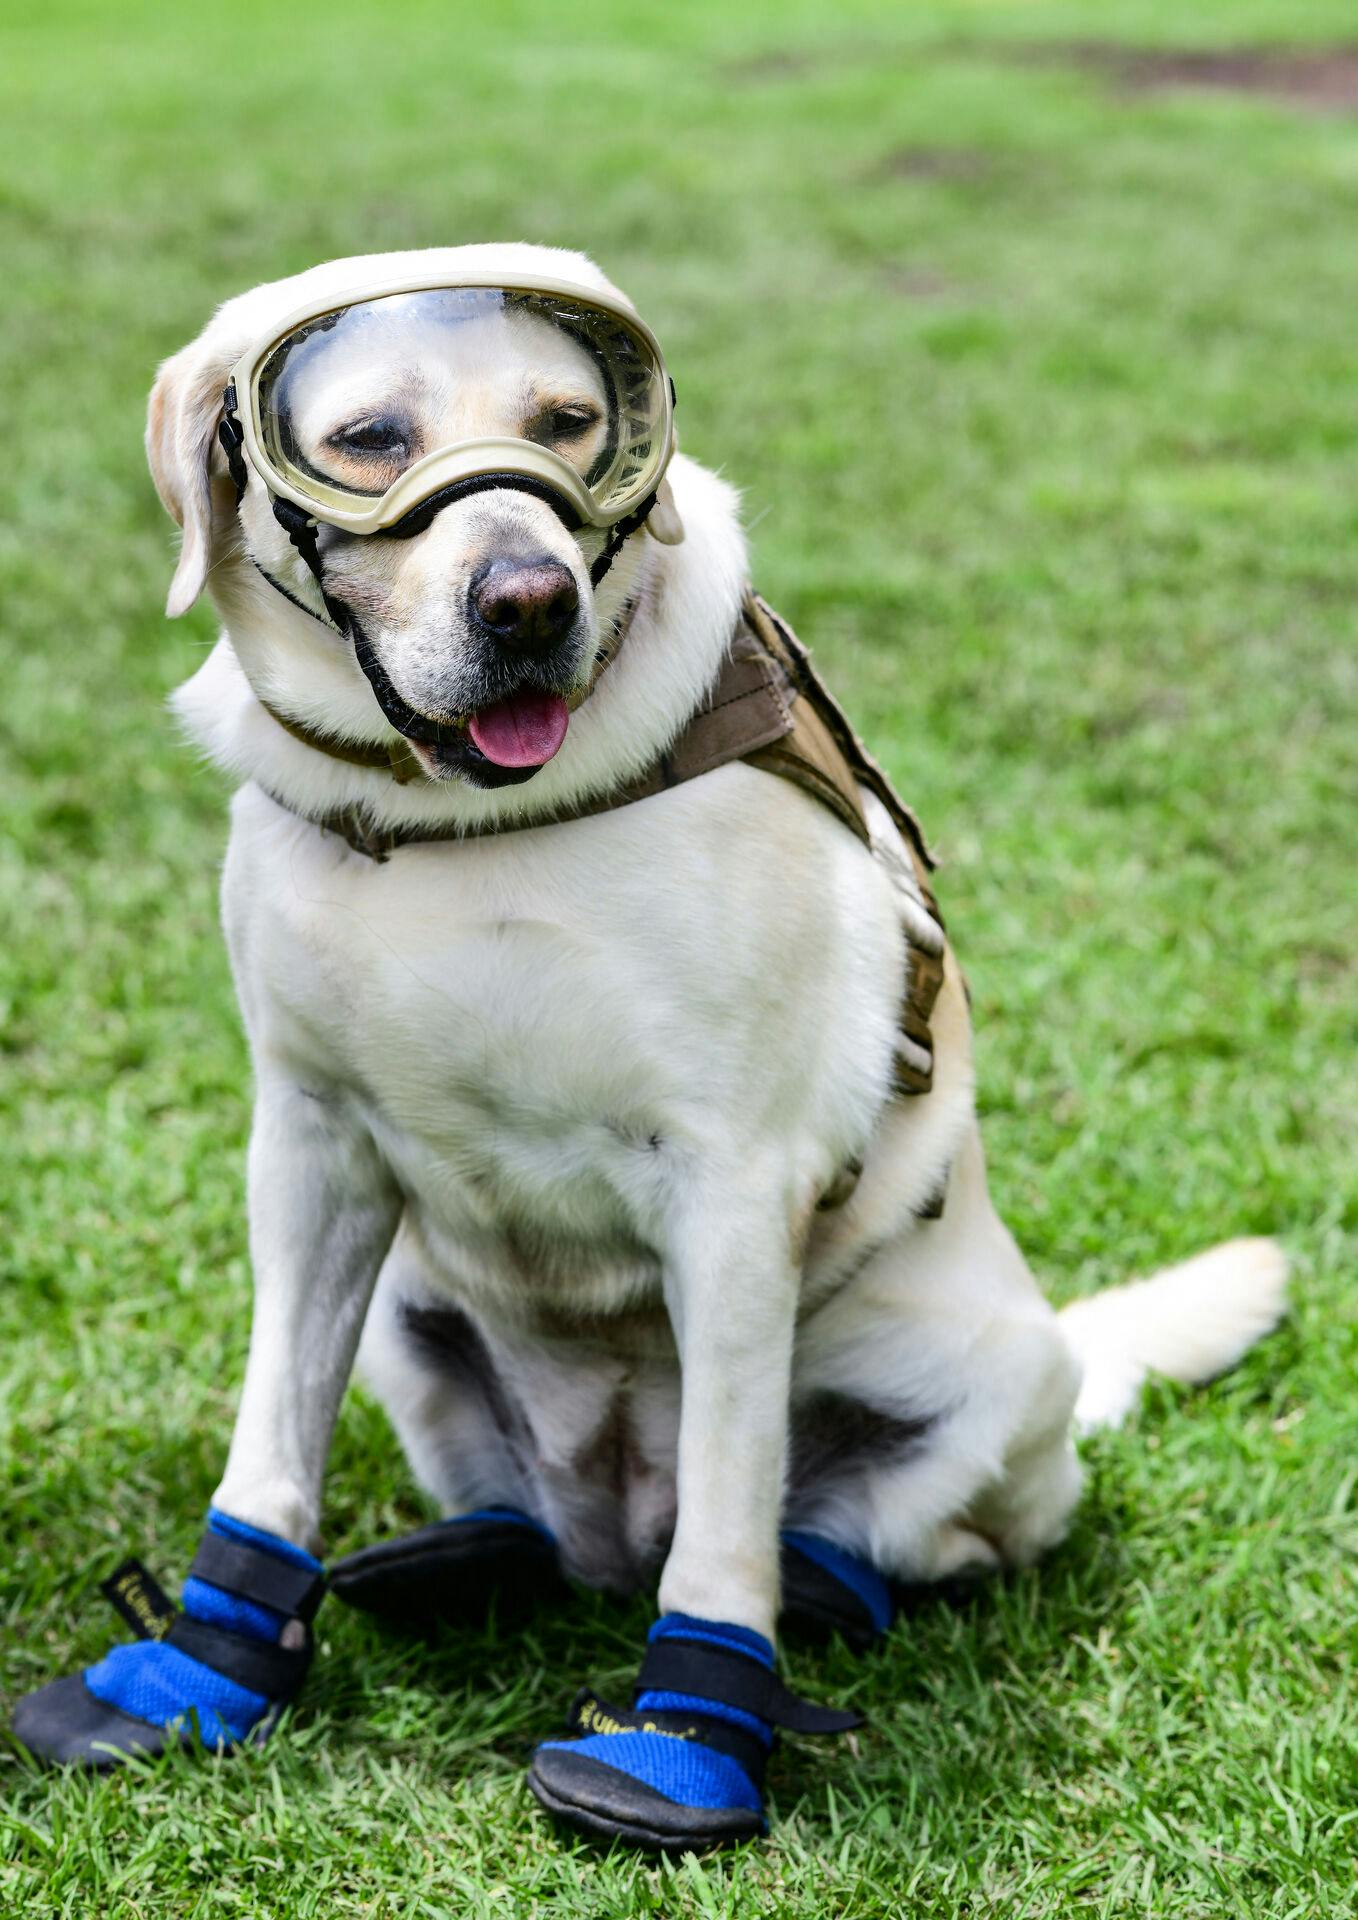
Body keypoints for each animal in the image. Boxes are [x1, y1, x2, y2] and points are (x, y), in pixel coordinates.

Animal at [15, 240, 1290, 1843]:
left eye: (569, 422)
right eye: (368, 439)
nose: (526, 600)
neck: (455, 825)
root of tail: (608, 1520)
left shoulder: (734, 1187)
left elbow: (730, 1526)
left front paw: (686, 1742)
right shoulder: (308, 1150)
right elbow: (270, 1448)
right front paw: (198, 1670)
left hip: (988, 1379)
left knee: (859, 1539)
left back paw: (811, 1588)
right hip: (410, 1317)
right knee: (518, 1513)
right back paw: (460, 1560)